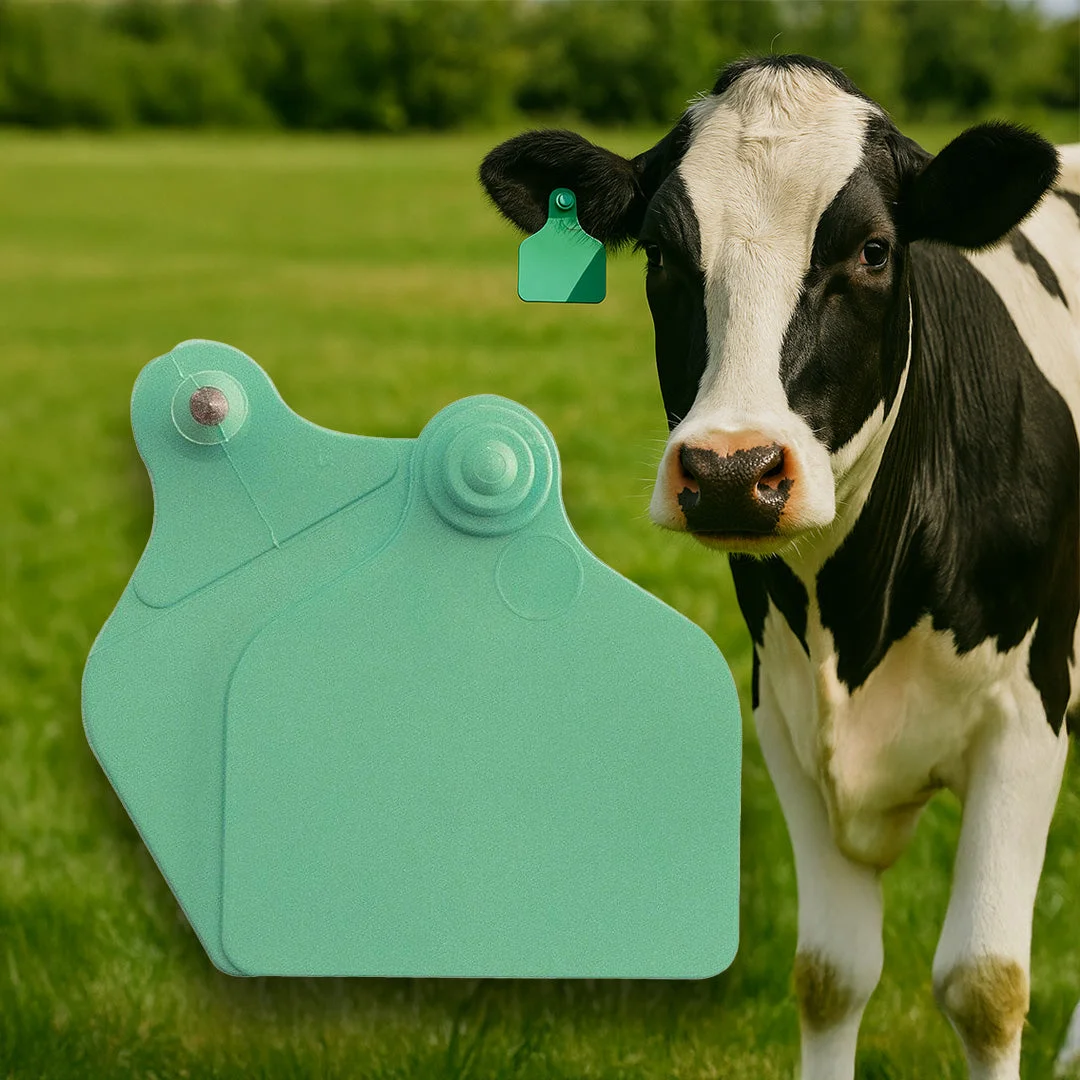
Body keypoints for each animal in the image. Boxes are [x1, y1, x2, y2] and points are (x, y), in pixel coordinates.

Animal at [480, 54, 1080, 1080]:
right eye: (660, 255)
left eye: (874, 250)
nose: (731, 471)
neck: (859, 618)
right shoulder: (784, 712)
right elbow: (831, 975)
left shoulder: (1028, 712)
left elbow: (986, 984)